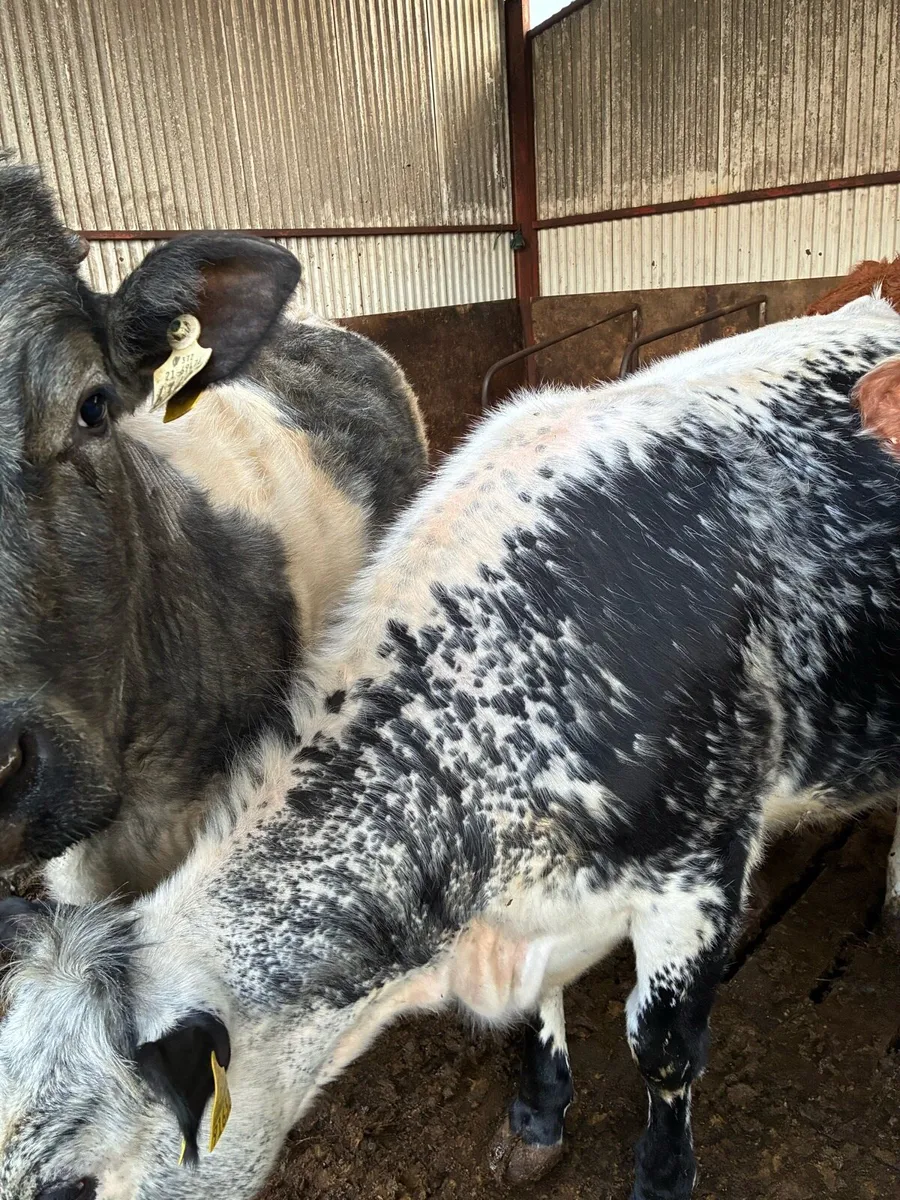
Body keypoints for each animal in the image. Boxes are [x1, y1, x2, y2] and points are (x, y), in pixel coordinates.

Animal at [1, 296, 900, 1200]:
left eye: (71, 1186)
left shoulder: (698, 874)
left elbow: (665, 1048)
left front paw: (663, 1174)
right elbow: (538, 1016)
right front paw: (539, 1115)